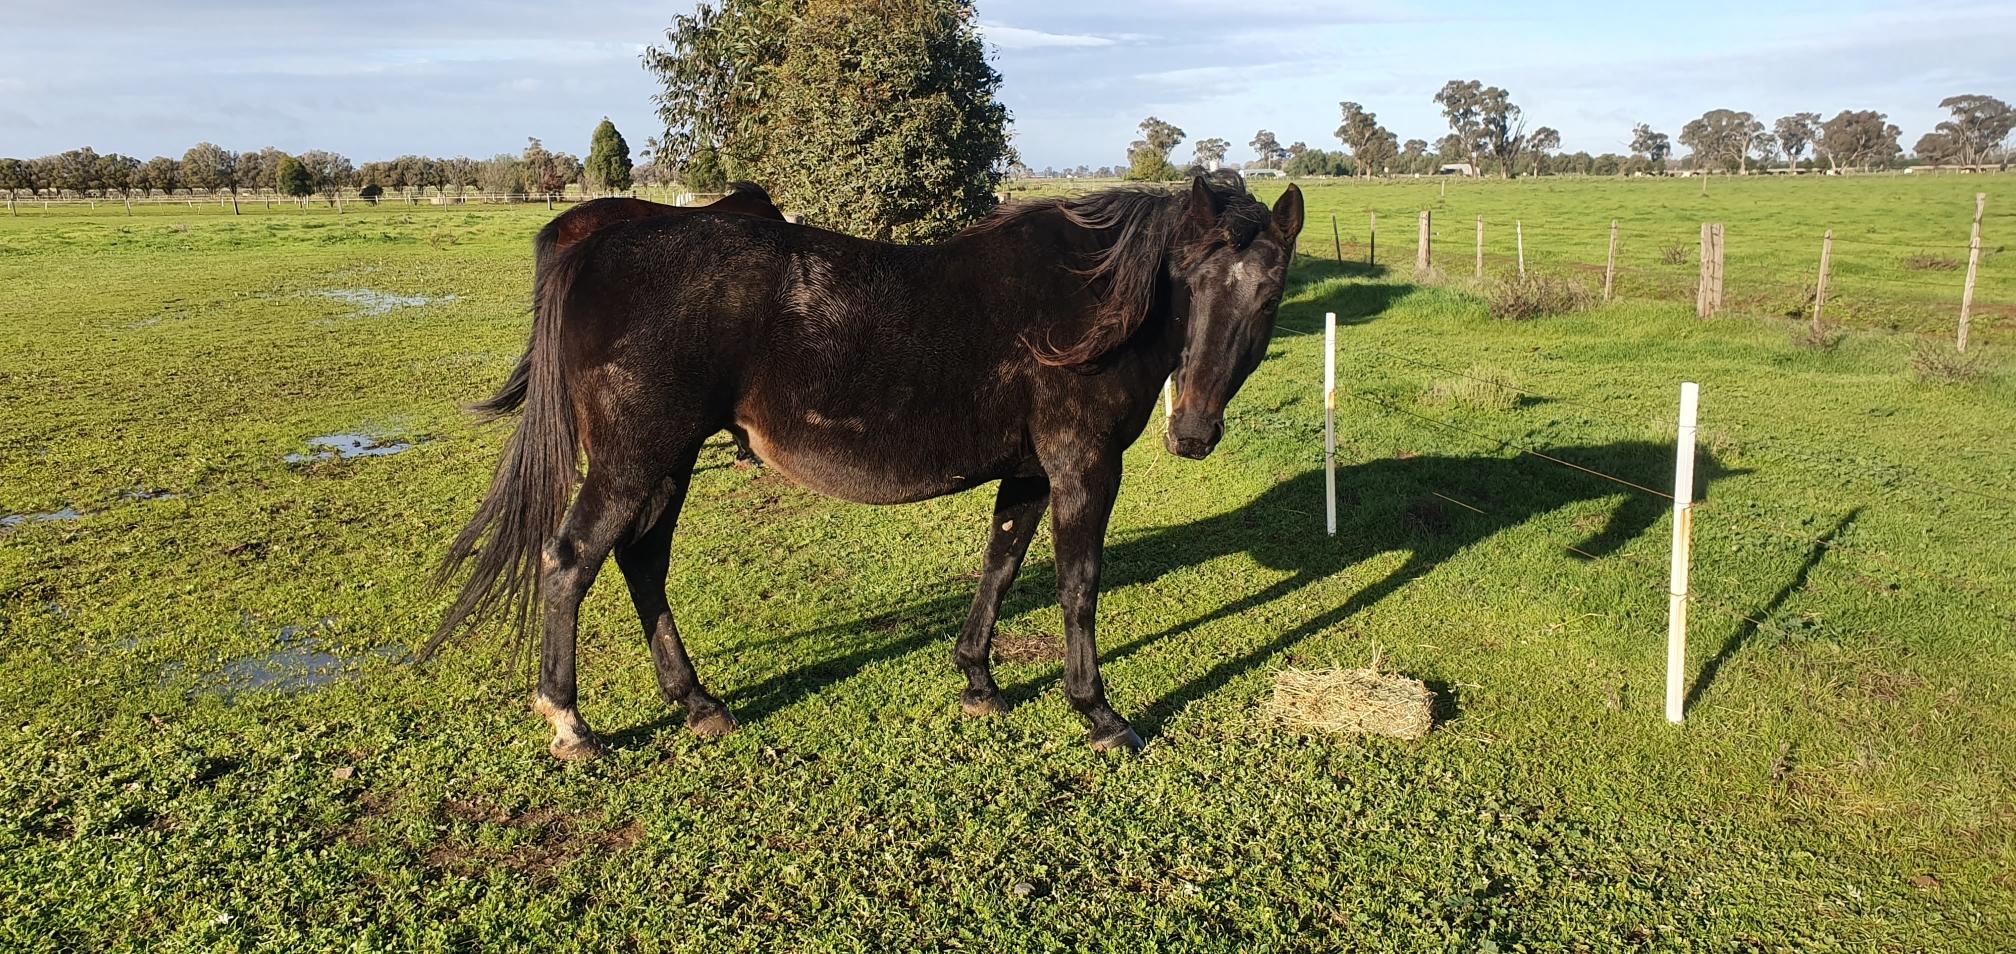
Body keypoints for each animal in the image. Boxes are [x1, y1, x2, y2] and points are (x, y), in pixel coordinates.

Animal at [431, 172, 1304, 760]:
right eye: (1191, 282)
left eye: (1268, 296)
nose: (1192, 432)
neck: (1089, 303)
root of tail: (597, 246)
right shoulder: (1082, 466)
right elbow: (1078, 587)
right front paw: (1099, 713)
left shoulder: (1029, 470)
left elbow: (999, 565)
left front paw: (979, 682)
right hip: (634, 460)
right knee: (571, 560)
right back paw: (570, 722)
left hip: (668, 462)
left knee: (642, 561)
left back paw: (698, 702)